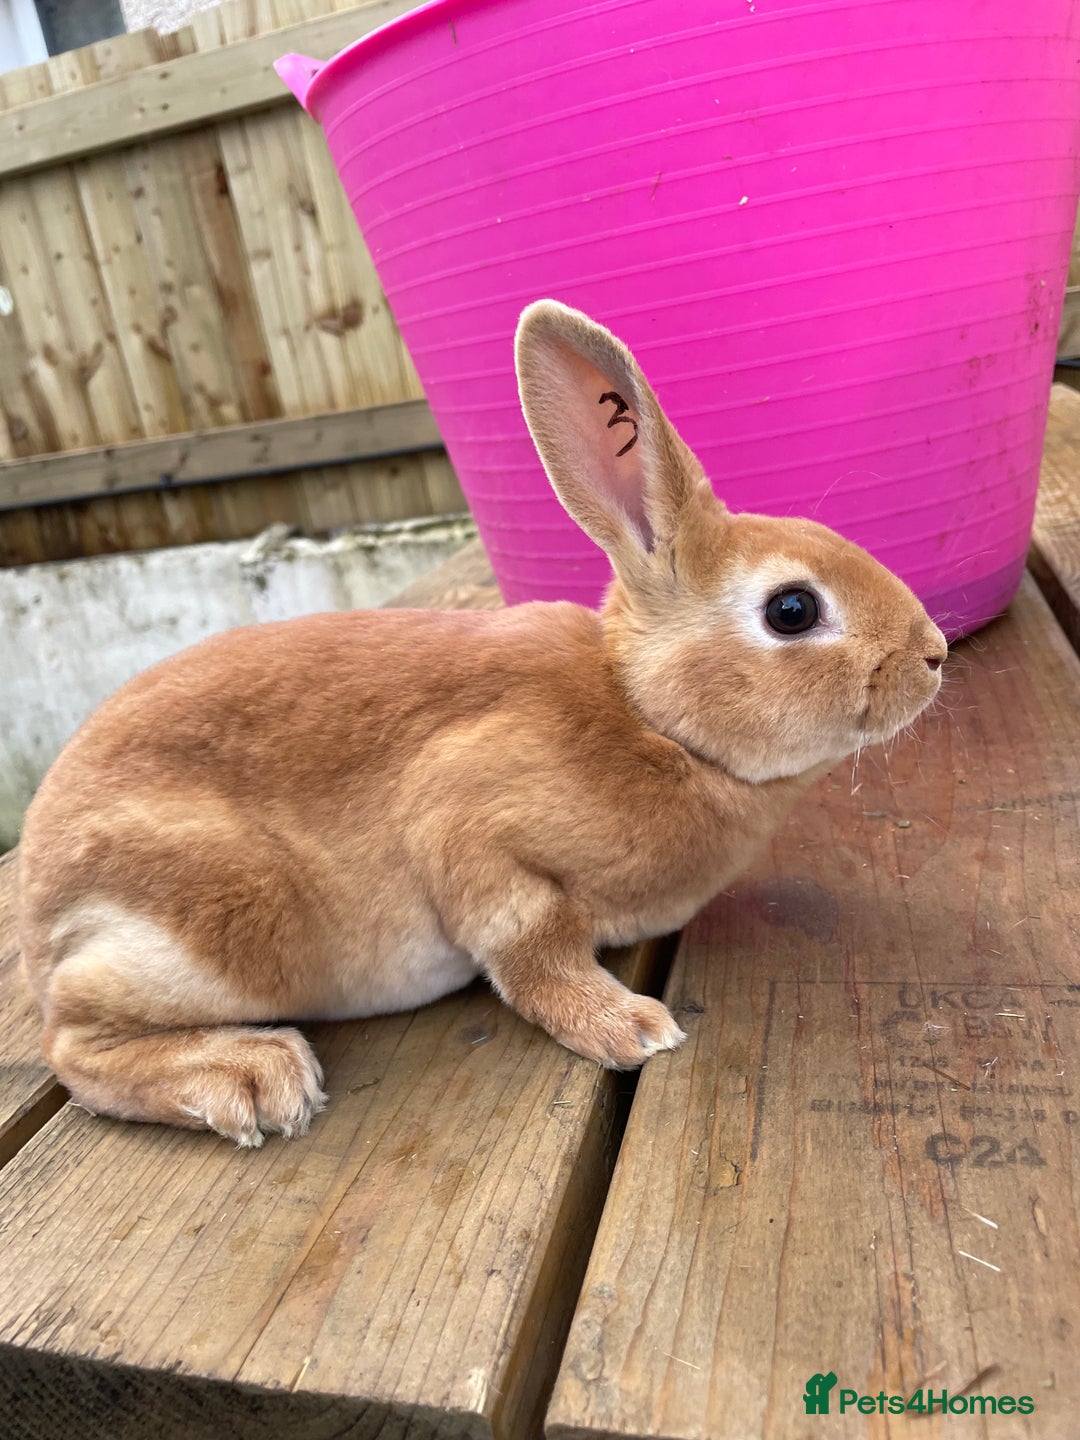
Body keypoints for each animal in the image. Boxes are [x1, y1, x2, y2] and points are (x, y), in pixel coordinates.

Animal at [17, 300, 947, 1147]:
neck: (647, 716)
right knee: (72, 1045)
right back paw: (250, 1076)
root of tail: (37, 909)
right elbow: (531, 943)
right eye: (792, 610)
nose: (934, 653)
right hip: (220, 920)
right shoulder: (469, 819)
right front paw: (629, 1027)